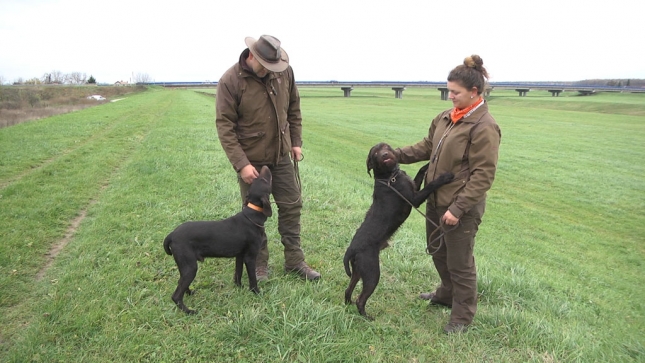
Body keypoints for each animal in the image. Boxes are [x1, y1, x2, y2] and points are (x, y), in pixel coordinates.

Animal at [164, 166, 272, 314]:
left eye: (258, 180)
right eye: (263, 180)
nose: (265, 167)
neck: (252, 215)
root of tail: (172, 234)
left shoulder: (240, 255)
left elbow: (238, 274)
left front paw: (239, 288)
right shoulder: (250, 257)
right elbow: (252, 279)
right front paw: (256, 292)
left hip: (184, 265)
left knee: (182, 284)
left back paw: (190, 293)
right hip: (190, 267)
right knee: (176, 295)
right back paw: (189, 311)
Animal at [342, 144, 452, 320]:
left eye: (385, 146)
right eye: (375, 153)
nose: (385, 154)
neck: (389, 177)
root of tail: (351, 250)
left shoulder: (414, 186)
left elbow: (421, 170)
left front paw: (429, 162)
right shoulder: (414, 199)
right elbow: (430, 185)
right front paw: (445, 177)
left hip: (358, 271)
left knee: (348, 290)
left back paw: (348, 304)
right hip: (372, 273)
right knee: (361, 299)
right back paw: (367, 317)